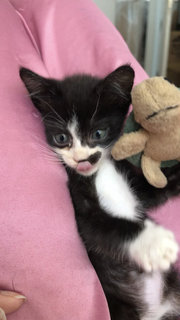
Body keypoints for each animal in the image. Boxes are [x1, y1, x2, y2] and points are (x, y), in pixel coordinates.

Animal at [19, 66, 180, 320]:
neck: (101, 172)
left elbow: (156, 188)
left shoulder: (134, 185)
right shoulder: (81, 208)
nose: (82, 160)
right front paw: (156, 243)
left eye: (98, 133)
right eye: (61, 138)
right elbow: (107, 226)